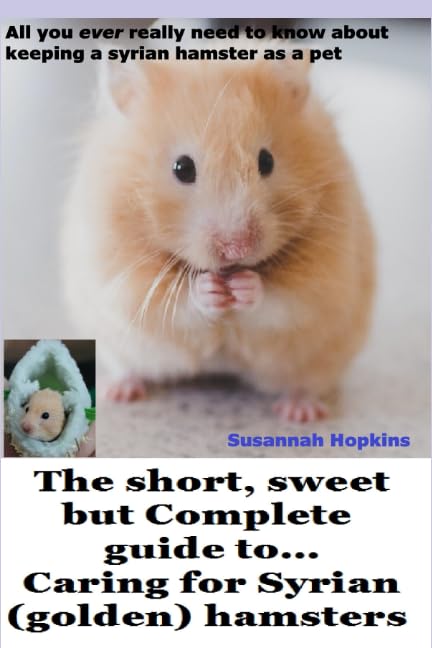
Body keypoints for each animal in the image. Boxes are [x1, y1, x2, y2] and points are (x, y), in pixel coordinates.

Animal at [62, 50, 375, 422]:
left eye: (267, 161)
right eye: (182, 168)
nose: (237, 248)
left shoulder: (325, 277)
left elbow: (283, 300)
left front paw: (244, 286)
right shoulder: (120, 274)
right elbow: (170, 303)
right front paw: (210, 289)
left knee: (306, 383)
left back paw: (300, 412)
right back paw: (120, 391)